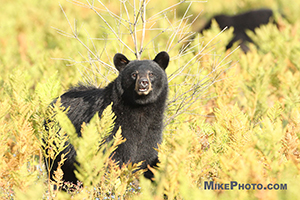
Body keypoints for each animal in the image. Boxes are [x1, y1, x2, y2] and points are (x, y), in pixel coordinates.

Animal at [43, 50, 170, 188]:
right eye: (134, 74)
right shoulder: (114, 130)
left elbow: (147, 158)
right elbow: (113, 158)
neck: (140, 110)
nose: (143, 82)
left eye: (151, 73)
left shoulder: (152, 130)